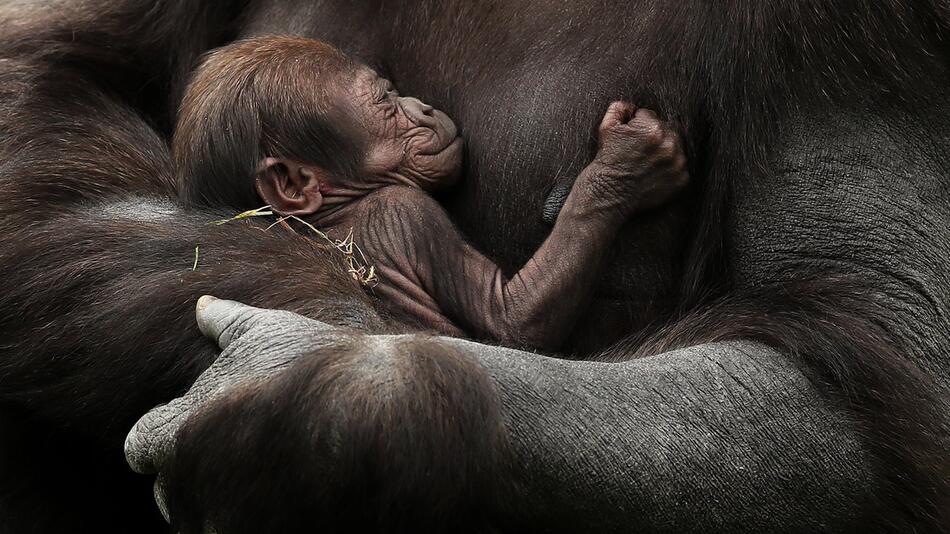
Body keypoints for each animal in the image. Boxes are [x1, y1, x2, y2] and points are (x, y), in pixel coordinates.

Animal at [175, 35, 688, 350]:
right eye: (385, 100)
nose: (421, 106)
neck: (334, 210)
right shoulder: (404, 214)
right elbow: (511, 320)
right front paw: (625, 165)